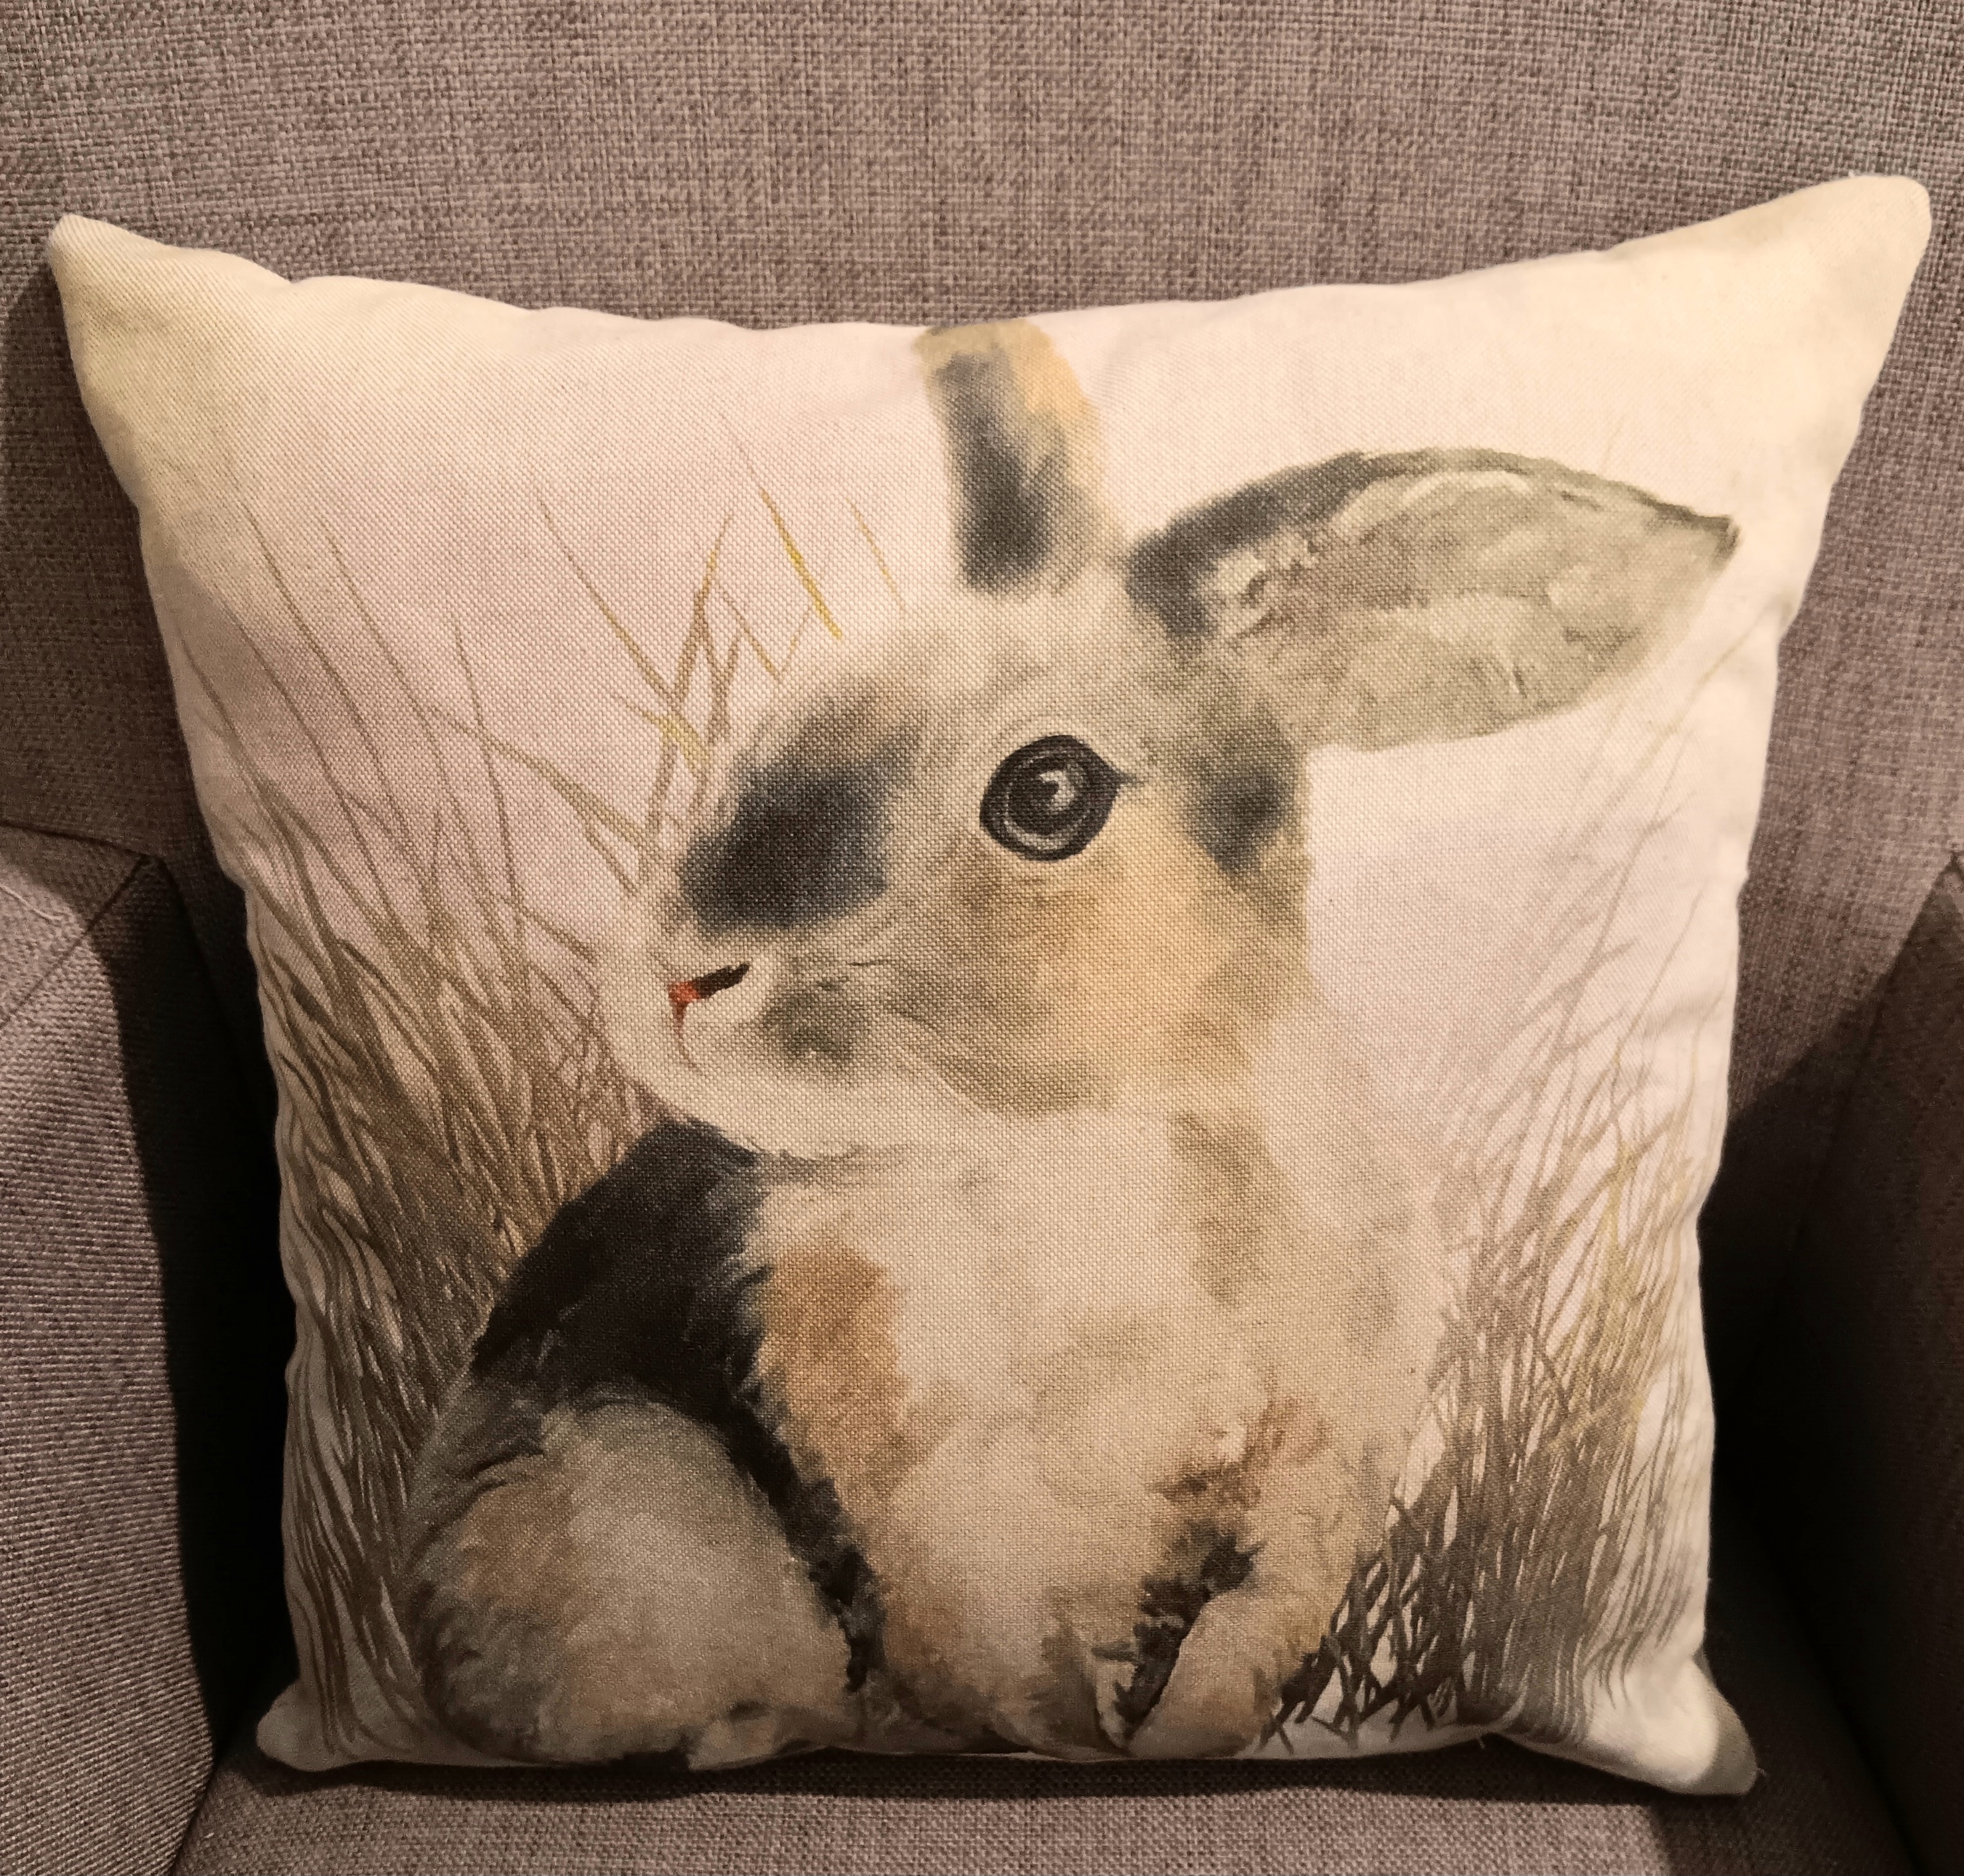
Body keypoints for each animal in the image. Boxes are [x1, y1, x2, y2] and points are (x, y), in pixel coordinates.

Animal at [405, 318, 1737, 1770]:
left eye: (1048, 794)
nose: (684, 978)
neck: (1083, 1140)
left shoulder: (1294, 1519)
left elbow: (1213, 1674)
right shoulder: (947, 1549)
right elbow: (1003, 1689)